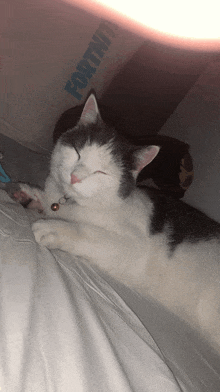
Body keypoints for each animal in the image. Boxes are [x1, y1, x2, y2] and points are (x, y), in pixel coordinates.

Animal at [13, 93, 220, 354]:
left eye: (101, 173)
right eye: (77, 152)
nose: (75, 176)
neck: (72, 203)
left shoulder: (134, 249)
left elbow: (89, 233)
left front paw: (53, 228)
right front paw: (31, 196)